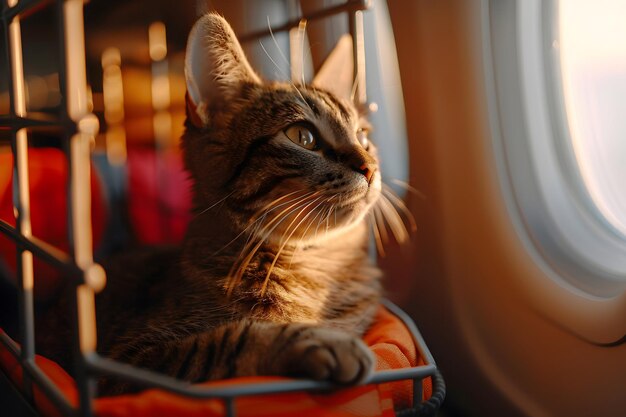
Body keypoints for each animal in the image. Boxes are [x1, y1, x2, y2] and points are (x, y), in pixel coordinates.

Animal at [42, 12, 400, 394]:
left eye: (363, 135)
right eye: (303, 136)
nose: (370, 166)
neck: (316, 263)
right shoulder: (125, 363)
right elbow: (227, 340)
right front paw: (317, 340)